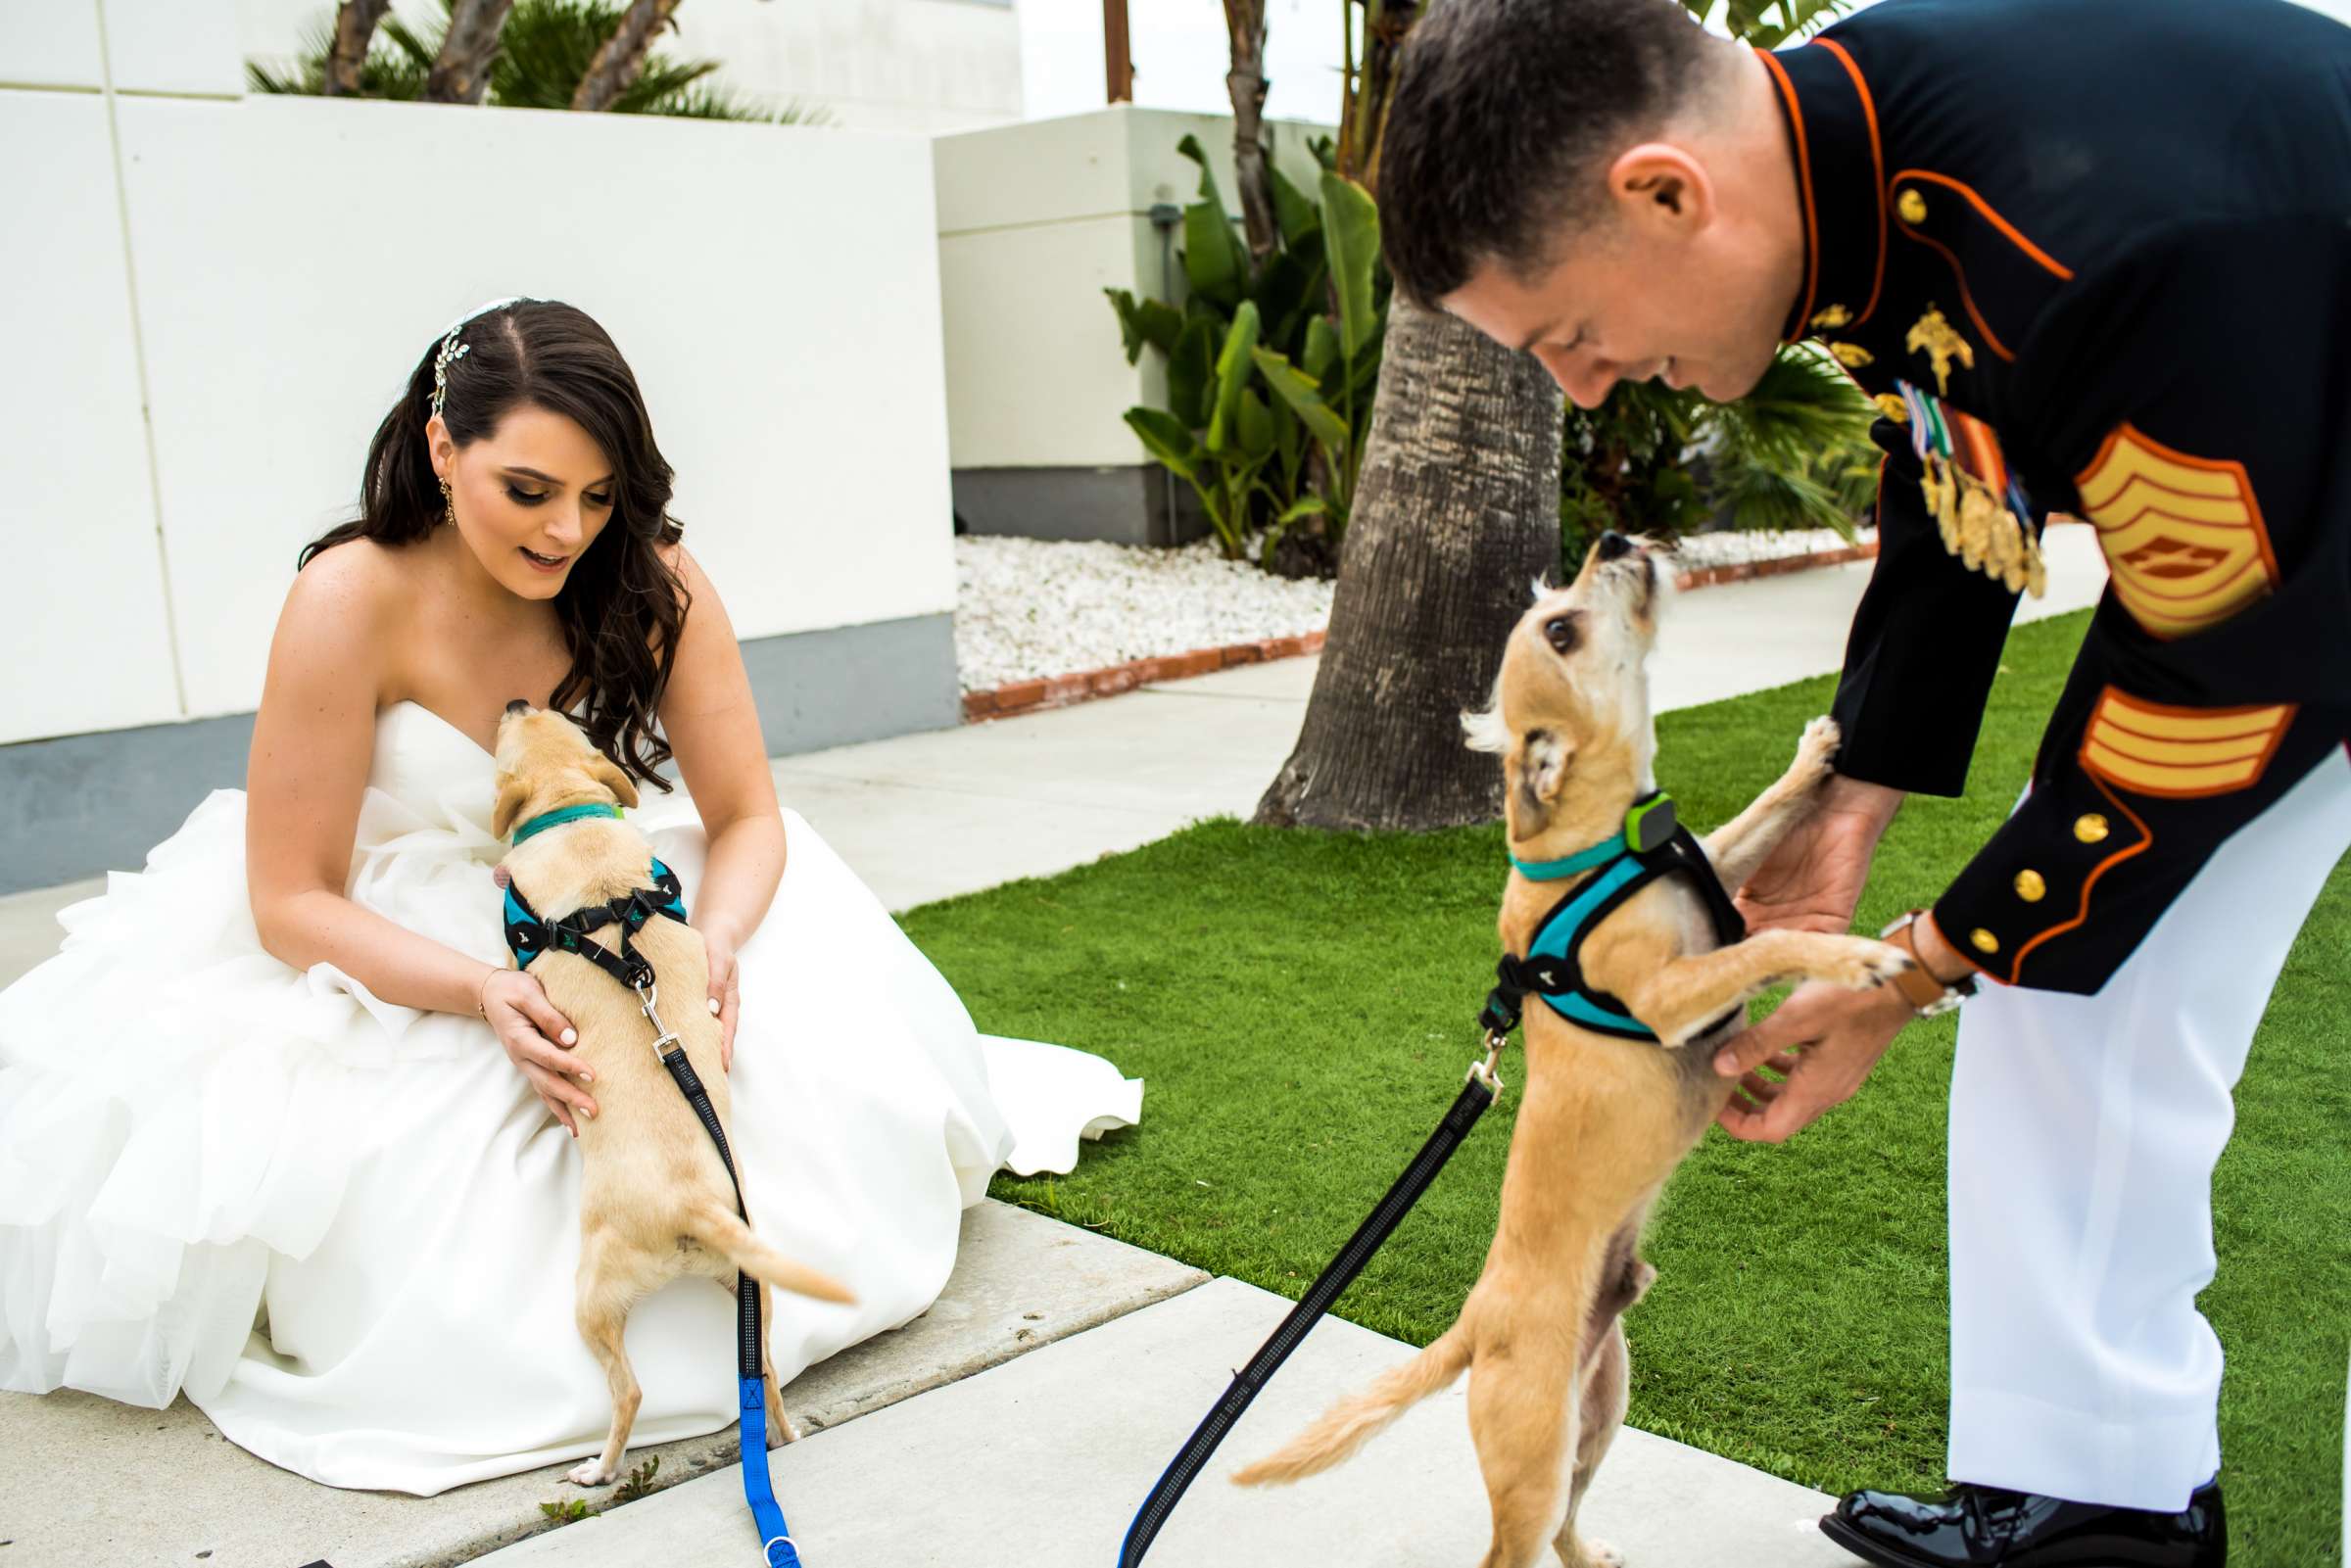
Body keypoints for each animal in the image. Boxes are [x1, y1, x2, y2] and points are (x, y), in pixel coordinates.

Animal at [489, 705, 855, 1495]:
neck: (575, 813)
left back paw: (597, 1469)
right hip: (755, 1288)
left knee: (628, 1391)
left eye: (513, 734)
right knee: (767, 1373)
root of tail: (693, 1206)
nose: (515, 699)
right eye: (565, 720)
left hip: (593, 1296)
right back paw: (784, 1434)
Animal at [1231, 541, 1908, 1568]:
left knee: (1564, 1528)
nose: (1619, 541)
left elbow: (1765, 814)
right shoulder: (1671, 994)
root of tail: (1474, 1325)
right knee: (1511, 1548)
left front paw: (1816, 756)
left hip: (1605, 1402)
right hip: (1536, 1450)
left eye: (1557, 595)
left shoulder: (1720, 859)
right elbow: (1766, 946)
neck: (1601, 842)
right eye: (1559, 627)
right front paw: (1860, 958)